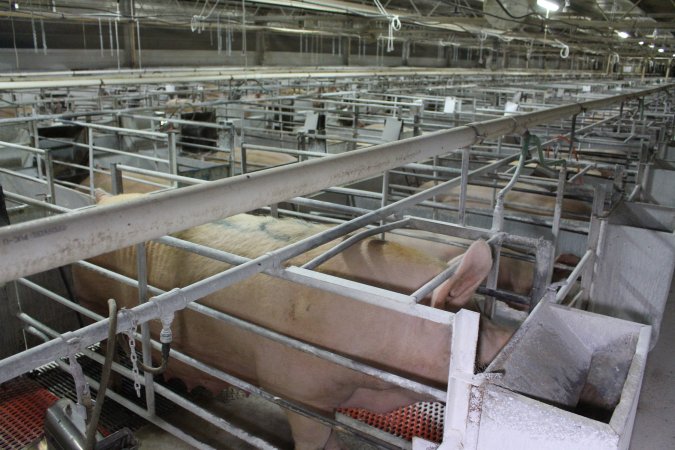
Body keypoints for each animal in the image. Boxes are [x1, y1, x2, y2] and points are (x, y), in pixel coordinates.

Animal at [74, 193, 516, 450]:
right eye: (480, 341)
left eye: (485, 309)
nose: (513, 335)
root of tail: (103, 196)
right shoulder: (297, 392)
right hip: (90, 298)